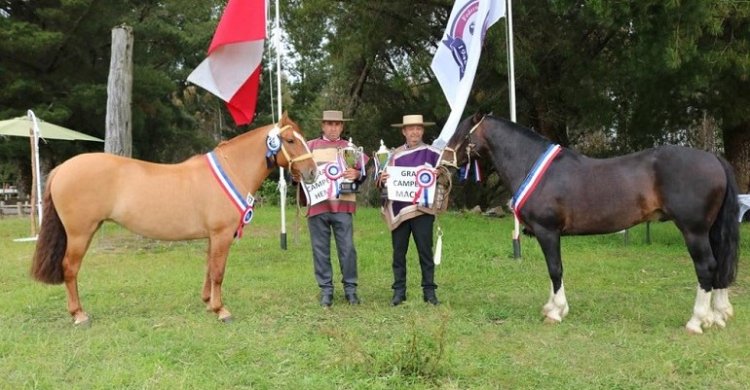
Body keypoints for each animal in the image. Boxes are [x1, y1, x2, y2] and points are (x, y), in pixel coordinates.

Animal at [29, 113, 316, 326]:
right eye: (290, 140)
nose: (312, 172)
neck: (231, 170)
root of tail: (62, 169)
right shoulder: (222, 234)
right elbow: (219, 272)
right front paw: (222, 310)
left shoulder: (212, 236)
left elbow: (209, 269)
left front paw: (208, 303)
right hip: (80, 234)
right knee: (70, 269)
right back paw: (79, 315)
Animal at [444, 113, 744, 336]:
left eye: (462, 132)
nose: (444, 160)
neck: (533, 166)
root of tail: (713, 158)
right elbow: (553, 271)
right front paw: (551, 307)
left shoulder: (547, 231)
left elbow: (555, 269)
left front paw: (556, 312)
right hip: (711, 231)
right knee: (719, 267)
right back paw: (718, 316)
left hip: (694, 231)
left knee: (706, 267)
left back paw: (697, 321)